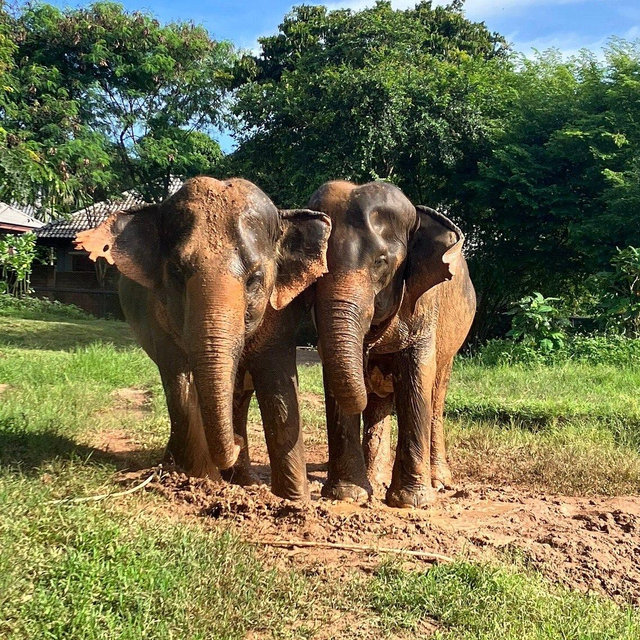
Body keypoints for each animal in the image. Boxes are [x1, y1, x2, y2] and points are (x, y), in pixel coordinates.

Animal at [75, 176, 332, 500]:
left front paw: (294, 501)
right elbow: (179, 380)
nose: (237, 442)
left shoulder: (280, 314)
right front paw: (202, 481)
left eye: (254, 279)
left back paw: (242, 478)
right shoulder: (158, 315)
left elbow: (278, 385)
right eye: (176, 272)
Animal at [309, 180, 475, 508]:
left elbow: (416, 379)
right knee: (378, 405)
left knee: (436, 396)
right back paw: (375, 479)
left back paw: (439, 481)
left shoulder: (425, 304)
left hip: (452, 345)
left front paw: (411, 502)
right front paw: (348, 495)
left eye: (381, 263)